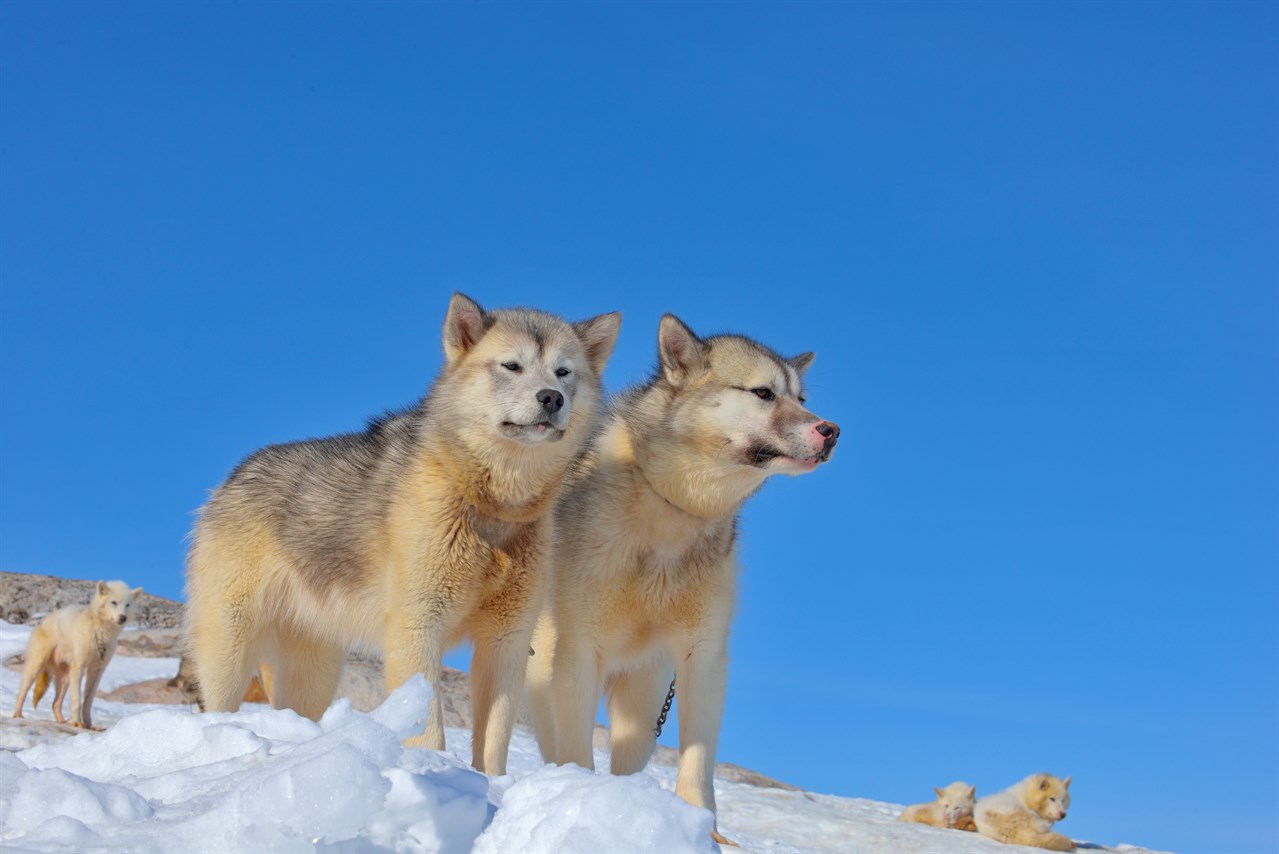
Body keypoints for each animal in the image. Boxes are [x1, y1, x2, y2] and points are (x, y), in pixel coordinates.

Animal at [12, 582, 141, 731]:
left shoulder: (97, 670)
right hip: (37, 666)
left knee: (55, 704)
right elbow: (77, 701)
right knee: (23, 691)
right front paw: (78, 723)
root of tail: (42, 622)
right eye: (114, 602)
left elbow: (88, 702)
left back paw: (62, 722)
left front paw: (89, 725)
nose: (123, 617)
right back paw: (17, 714)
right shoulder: (79, 667)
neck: (100, 634)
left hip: (65, 679)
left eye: (127, 605)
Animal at [526, 315, 839, 838]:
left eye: (802, 398)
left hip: (643, 702)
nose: (831, 431)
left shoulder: (704, 658)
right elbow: (575, 752)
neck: (672, 512)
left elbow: (698, 763)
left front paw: (704, 830)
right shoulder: (577, 654)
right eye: (763, 393)